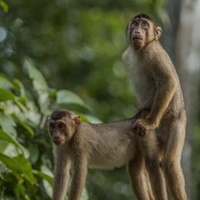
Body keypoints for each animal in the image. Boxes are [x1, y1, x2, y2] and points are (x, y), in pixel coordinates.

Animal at [122, 13, 188, 199]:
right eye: (135, 24)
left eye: (145, 25)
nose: (137, 31)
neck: (140, 51)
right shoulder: (126, 56)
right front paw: (139, 112)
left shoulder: (154, 52)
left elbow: (168, 81)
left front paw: (150, 122)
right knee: (145, 165)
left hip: (177, 123)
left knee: (169, 162)